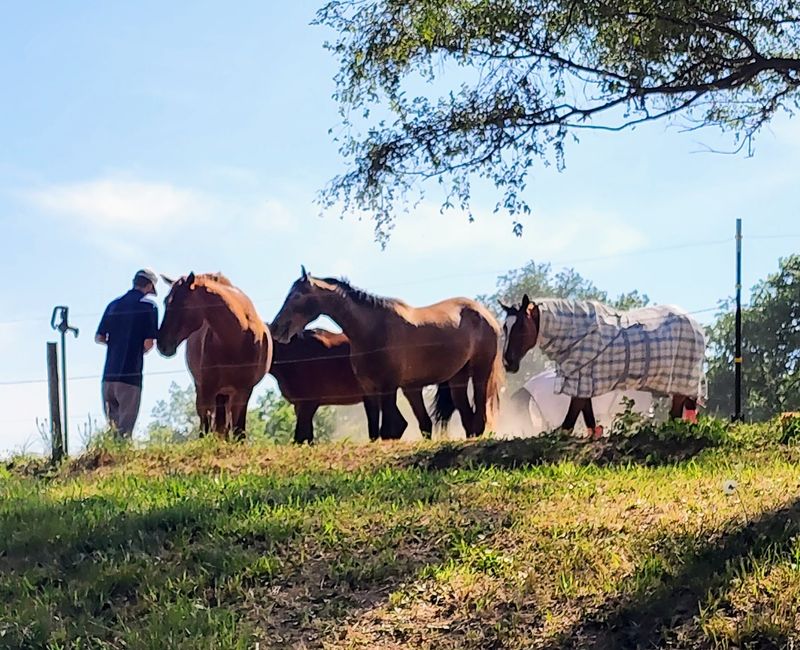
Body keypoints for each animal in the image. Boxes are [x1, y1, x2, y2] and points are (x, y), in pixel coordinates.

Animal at [157, 272, 272, 440]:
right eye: (166, 302)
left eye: (183, 303)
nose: (162, 344)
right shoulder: (208, 389)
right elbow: (206, 427)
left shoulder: (243, 390)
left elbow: (238, 431)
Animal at [500, 295, 706, 437]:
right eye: (504, 327)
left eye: (521, 326)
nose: (508, 362)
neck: (578, 334)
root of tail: (695, 326)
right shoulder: (583, 381)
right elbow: (587, 416)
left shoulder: (581, 380)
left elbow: (571, 419)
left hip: (680, 379)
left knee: (677, 412)